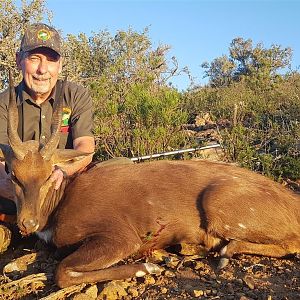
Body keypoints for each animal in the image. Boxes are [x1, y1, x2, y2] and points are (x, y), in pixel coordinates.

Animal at [1, 74, 300, 288]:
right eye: (14, 175)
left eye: (49, 175)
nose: (28, 223)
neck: (59, 205)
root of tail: (292, 202)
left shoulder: (120, 236)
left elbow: (62, 272)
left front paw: (147, 267)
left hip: (218, 205)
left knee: (291, 243)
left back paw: (222, 253)